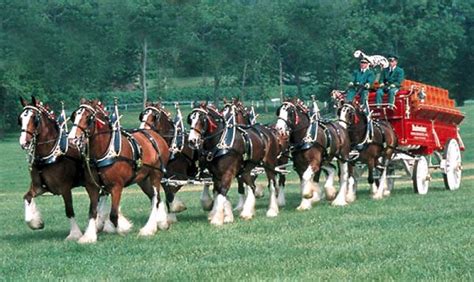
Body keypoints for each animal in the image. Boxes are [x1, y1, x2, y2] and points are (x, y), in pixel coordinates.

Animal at [19, 96, 88, 240]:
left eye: (34, 119)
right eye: (20, 119)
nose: (24, 142)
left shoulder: (65, 188)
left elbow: (69, 210)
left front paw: (74, 234)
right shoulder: (39, 187)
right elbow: (27, 197)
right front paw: (36, 223)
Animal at [67, 99, 169, 242]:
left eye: (88, 118)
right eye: (74, 116)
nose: (71, 139)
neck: (104, 151)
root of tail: (156, 136)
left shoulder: (117, 186)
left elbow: (114, 214)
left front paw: (122, 227)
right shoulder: (92, 186)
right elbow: (92, 211)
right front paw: (89, 236)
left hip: (156, 175)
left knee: (156, 198)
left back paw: (149, 228)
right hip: (143, 179)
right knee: (155, 198)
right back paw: (161, 222)